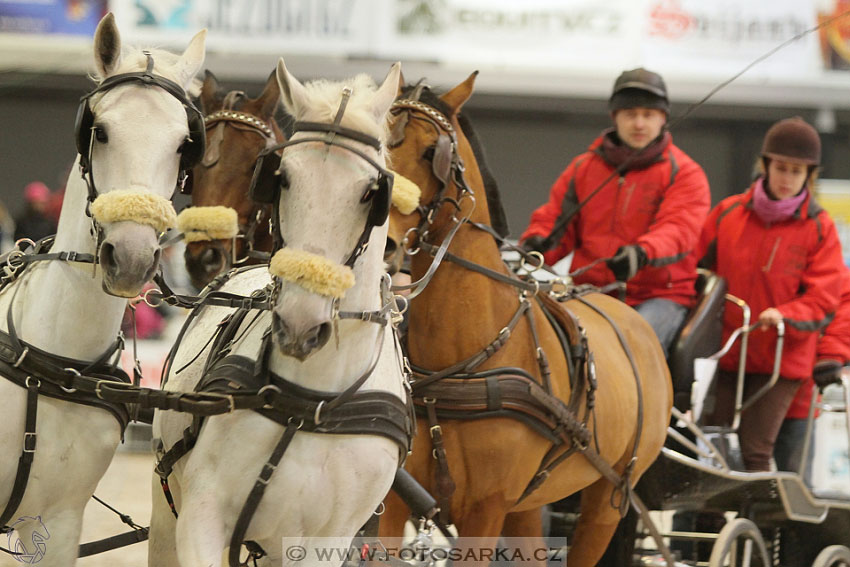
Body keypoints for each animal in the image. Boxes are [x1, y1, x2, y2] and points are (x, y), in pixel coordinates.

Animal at [380, 73, 672, 564]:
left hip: (609, 497)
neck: (458, 364)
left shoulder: (486, 507)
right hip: (529, 502)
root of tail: (631, 321)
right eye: (379, 142)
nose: (381, 238)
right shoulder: (401, 499)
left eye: (432, 151)